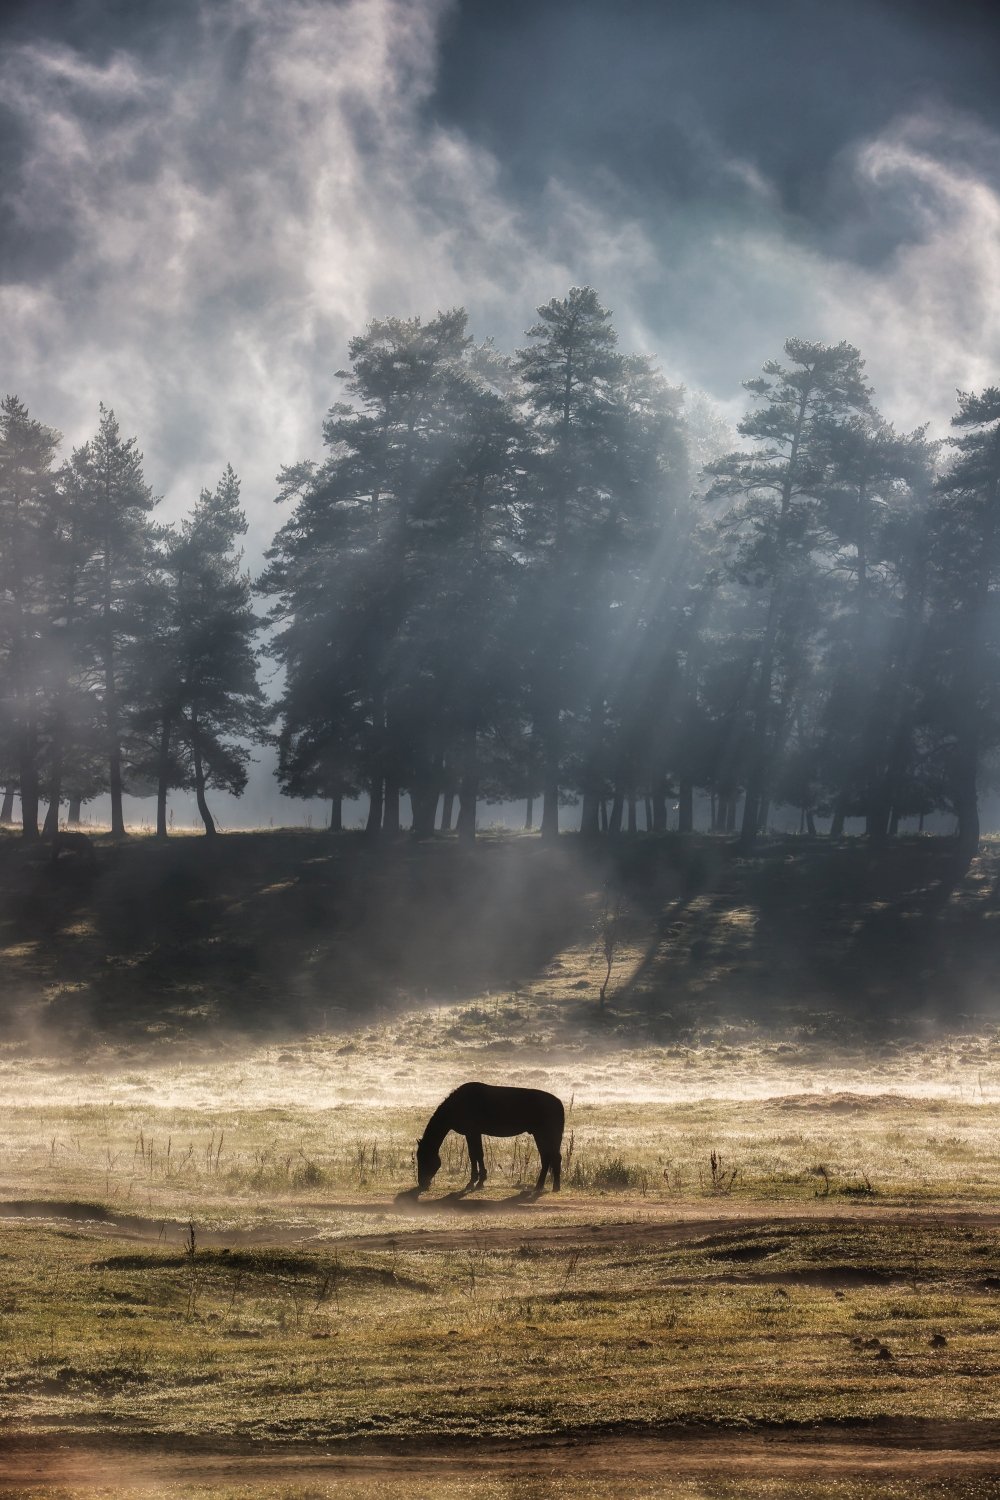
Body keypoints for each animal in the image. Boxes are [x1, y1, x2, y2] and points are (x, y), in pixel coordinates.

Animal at [413, 1080, 563, 1194]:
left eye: (424, 1158)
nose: (422, 1183)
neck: (459, 1104)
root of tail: (559, 1103)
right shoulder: (474, 1133)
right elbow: (476, 1155)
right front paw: (479, 1180)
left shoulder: (472, 1133)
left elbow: (475, 1155)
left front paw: (474, 1182)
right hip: (542, 1136)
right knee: (549, 1158)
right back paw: (548, 1186)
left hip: (544, 1135)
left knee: (550, 1158)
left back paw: (545, 1186)